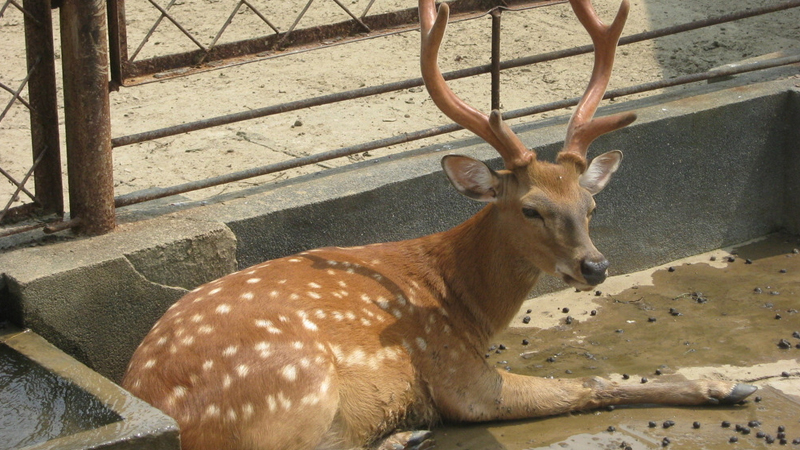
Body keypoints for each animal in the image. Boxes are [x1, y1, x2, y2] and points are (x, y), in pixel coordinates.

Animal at [123, 0, 756, 448]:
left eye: (591, 206)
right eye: (530, 208)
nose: (595, 266)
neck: (461, 307)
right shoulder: (457, 374)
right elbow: (590, 384)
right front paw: (725, 384)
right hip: (291, 389)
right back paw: (404, 433)